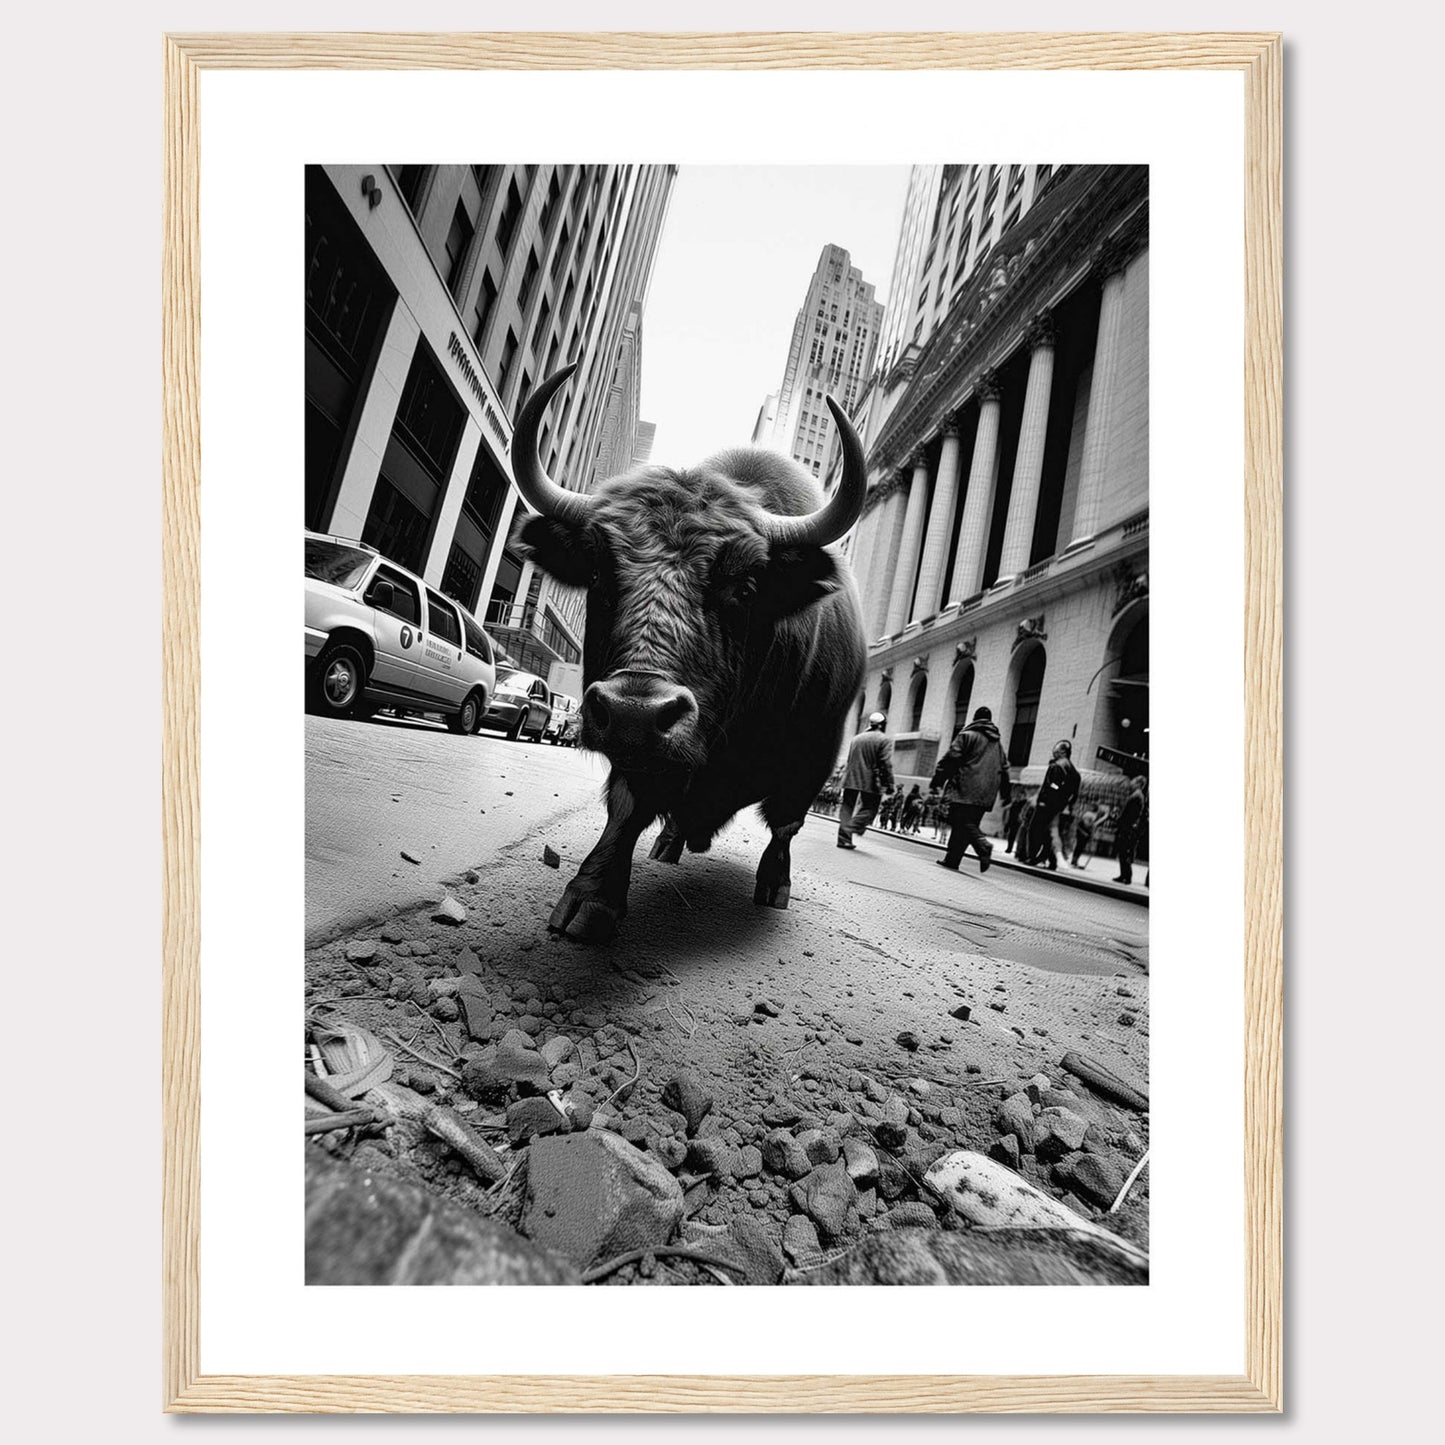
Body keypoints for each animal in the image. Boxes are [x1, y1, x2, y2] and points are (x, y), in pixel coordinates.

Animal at [508, 367, 867, 942]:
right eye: (597, 575)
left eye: (744, 586)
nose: (634, 712)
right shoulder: (639, 755)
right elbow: (626, 809)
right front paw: (592, 898)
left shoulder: (816, 750)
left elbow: (787, 825)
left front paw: (775, 885)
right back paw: (669, 842)